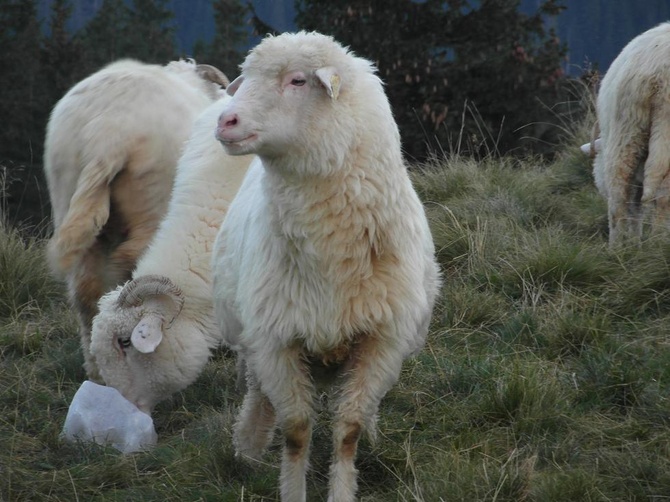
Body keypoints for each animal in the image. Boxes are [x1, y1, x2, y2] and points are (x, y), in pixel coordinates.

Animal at [44, 57, 230, 380]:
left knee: (84, 287)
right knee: (130, 259)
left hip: (67, 191)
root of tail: (106, 133)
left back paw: (95, 368)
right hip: (153, 197)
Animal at [210, 32, 440, 502]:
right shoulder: (277, 341)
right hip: (253, 338)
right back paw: (247, 449)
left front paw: (343, 487)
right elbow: (297, 430)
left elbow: (347, 429)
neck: (331, 259)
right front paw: (292, 489)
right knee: (257, 393)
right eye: (246, 78)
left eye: (298, 80)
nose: (225, 121)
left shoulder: (380, 342)